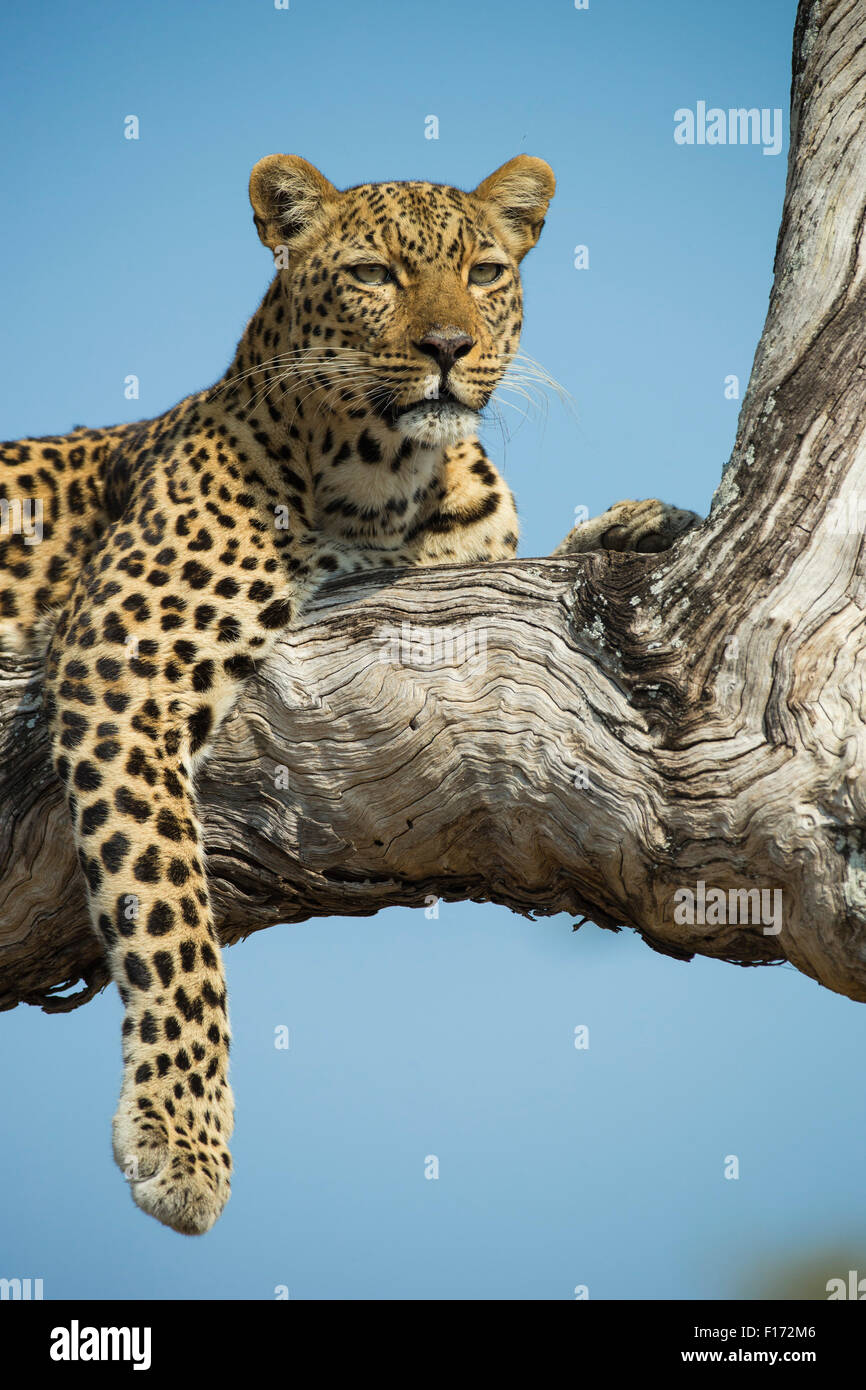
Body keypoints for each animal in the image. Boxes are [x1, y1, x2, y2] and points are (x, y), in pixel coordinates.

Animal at [0, 154, 700, 1239]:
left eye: (485, 271)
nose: (449, 346)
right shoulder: (123, 661)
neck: (391, 481)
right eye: (373, 273)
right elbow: (167, 905)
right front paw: (181, 1136)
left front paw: (636, 529)